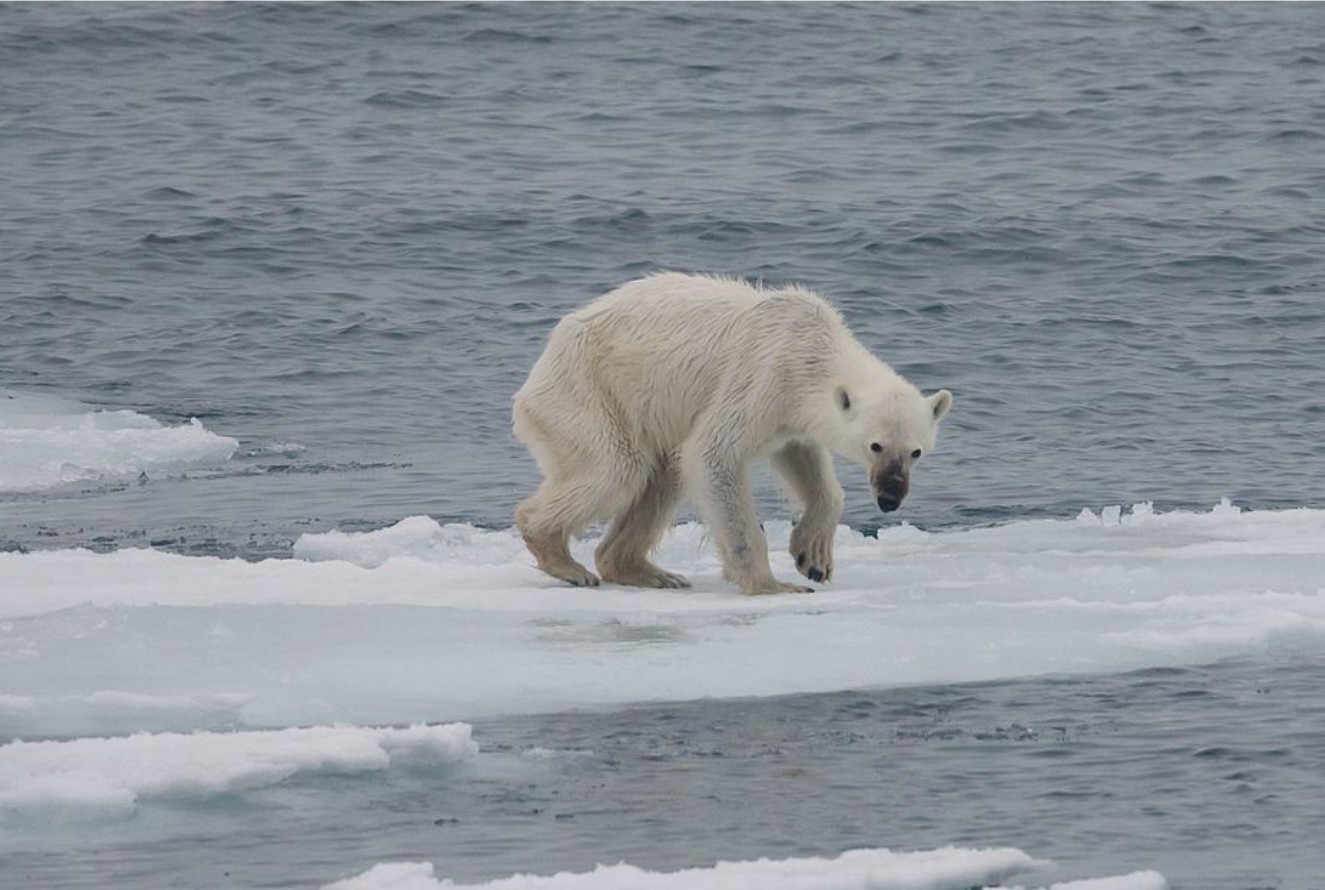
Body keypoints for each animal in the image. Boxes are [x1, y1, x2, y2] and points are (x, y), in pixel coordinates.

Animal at [506, 271, 954, 590]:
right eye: (875, 445)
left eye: (916, 451)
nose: (890, 498)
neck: (811, 348)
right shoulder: (763, 375)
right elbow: (714, 453)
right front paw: (771, 584)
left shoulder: (789, 413)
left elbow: (803, 460)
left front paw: (813, 557)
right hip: (589, 392)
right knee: (618, 468)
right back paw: (564, 559)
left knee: (662, 476)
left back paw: (649, 572)